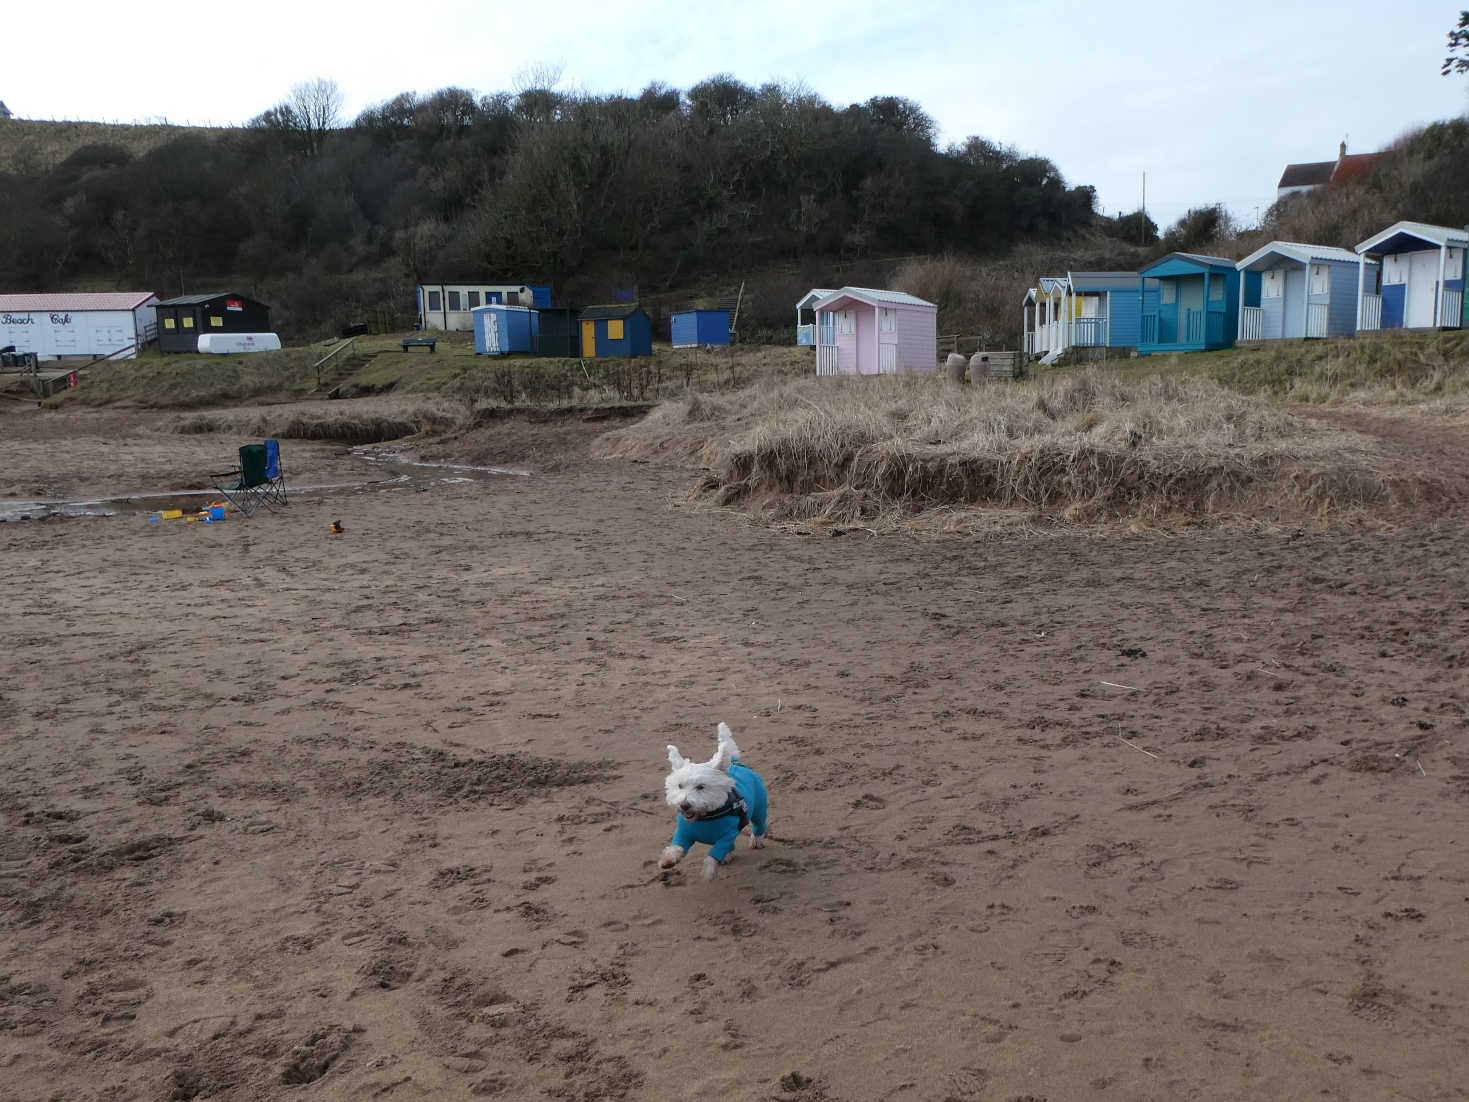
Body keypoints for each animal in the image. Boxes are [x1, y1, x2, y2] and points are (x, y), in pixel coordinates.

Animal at [658, 725, 769, 881]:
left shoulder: (728, 835)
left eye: (700, 787)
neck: (705, 817)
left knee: (759, 825)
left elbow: (713, 854)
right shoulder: (683, 833)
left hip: (759, 807)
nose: (684, 805)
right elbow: (676, 847)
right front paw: (667, 860)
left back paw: (756, 840)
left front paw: (707, 873)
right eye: (679, 786)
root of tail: (735, 763)